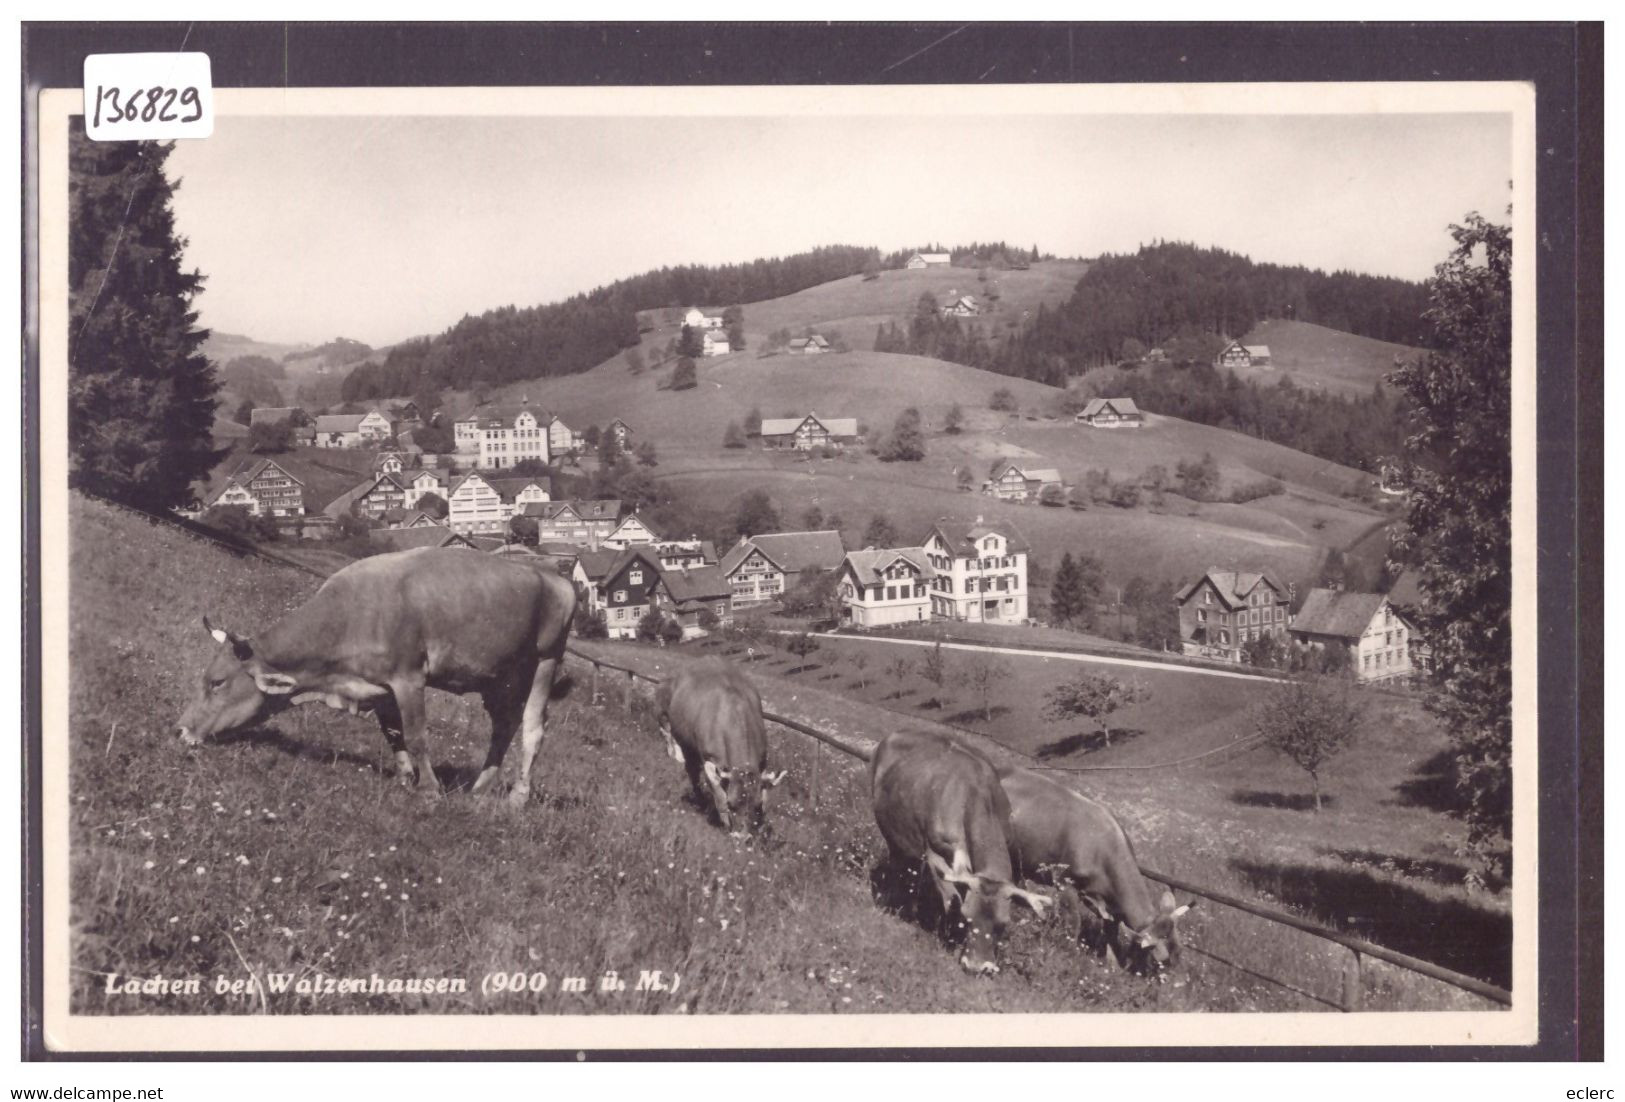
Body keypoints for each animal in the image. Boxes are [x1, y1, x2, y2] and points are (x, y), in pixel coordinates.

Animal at [171, 549, 575, 806]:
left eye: (218, 682)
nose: (180, 729)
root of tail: (556, 576)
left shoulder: (408, 678)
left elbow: (416, 735)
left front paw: (429, 790)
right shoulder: (379, 686)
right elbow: (393, 733)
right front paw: (404, 778)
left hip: (545, 659)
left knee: (532, 729)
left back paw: (518, 797)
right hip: (498, 677)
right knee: (504, 725)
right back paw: (481, 786)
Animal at [656, 659, 789, 832]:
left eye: (756, 806)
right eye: (731, 805)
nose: (743, 837)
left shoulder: (762, 762)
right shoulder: (710, 761)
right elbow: (718, 796)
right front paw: (725, 824)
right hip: (683, 740)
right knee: (691, 770)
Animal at [871, 734, 1046, 975]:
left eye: (1002, 924)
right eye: (966, 918)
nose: (976, 967)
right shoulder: (934, 853)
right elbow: (950, 899)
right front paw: (949, 938)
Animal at [994, 767, 1189, 975]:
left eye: (1179, 952)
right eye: (1159, 962)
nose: (1170, 982)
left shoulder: (1113, 905)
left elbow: (1111, 932)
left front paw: (1113, 964)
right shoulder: (1066, 883)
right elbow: (1074, 921)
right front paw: (1069, 952)